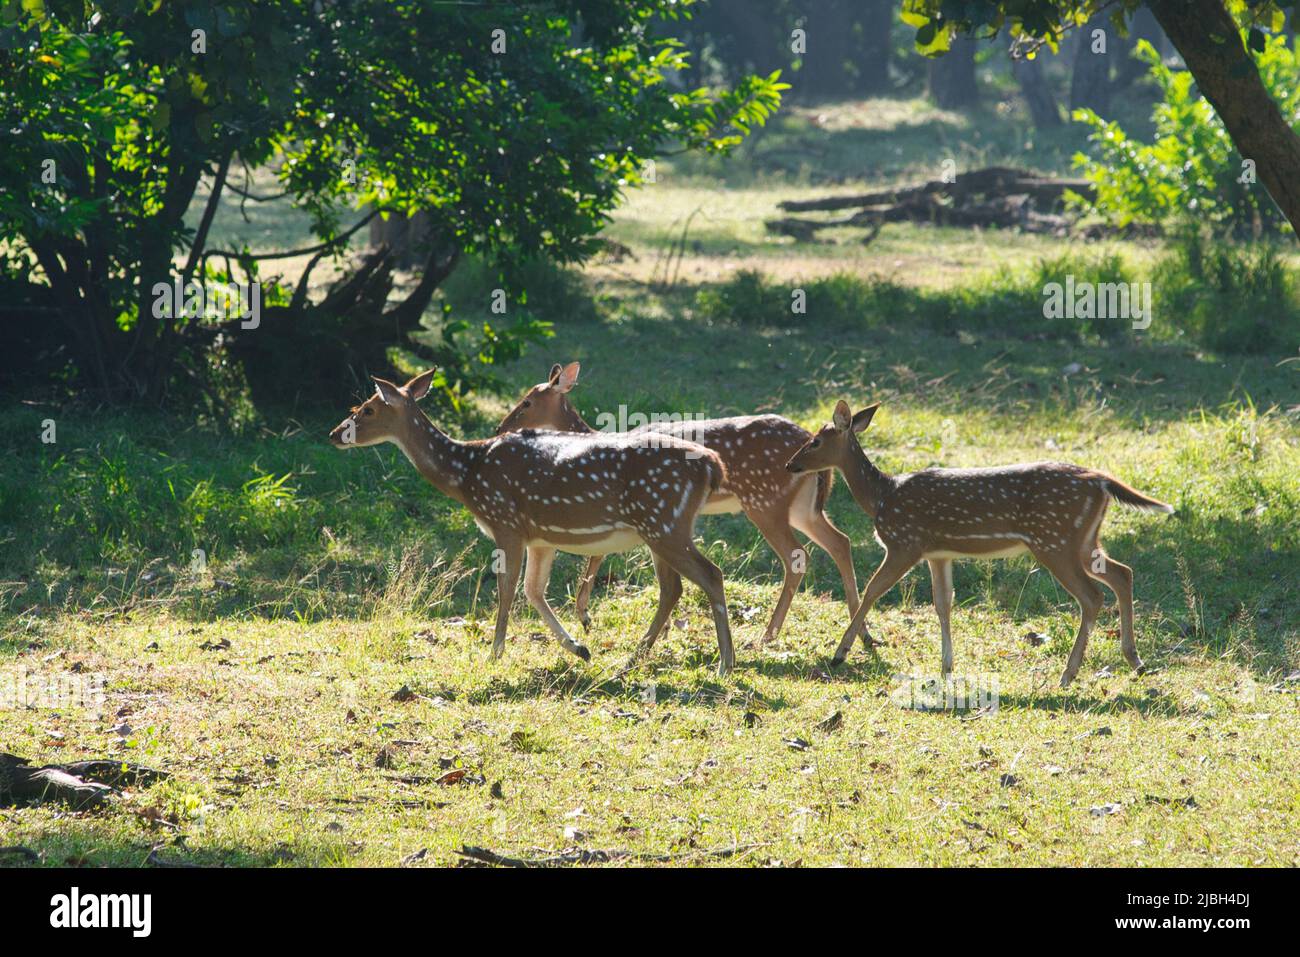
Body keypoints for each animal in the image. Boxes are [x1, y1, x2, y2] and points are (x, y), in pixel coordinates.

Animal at [329, 369, 737, 675]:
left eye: (366, 409)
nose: (335, 434)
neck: (466, 475)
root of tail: (712, 465)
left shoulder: (505, 522)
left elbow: (507, 588)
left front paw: (494, 653)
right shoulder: (540, 537)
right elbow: (533, 590)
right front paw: (579, 648)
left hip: (663, 521)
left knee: (710, 574)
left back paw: (724, 664)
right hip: (662, 526)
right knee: (674, 587)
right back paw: (634, 659)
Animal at [495, 362, 863, 648]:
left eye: (526, 402)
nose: (500, 427)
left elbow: (598, 553)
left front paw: (585, 615)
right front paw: (662, 630)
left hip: (764, 500)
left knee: (796, 556)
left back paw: (768, 635)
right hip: (803, 507)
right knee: (840, 542)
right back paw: (862, 634)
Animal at [785, 400, 1174, 687]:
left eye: (815, 440)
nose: (790, 464)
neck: (882, 497)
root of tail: (1101, 480)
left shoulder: (904, 542)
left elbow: (872, 590)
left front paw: (840, 653)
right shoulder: (938, 553)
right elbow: (943, 603)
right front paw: (946, 667)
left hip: (1054, 540)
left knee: (1092, 595)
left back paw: (1068, 674)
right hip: (1083, 539)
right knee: (1122, 573)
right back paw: (1135, 661)